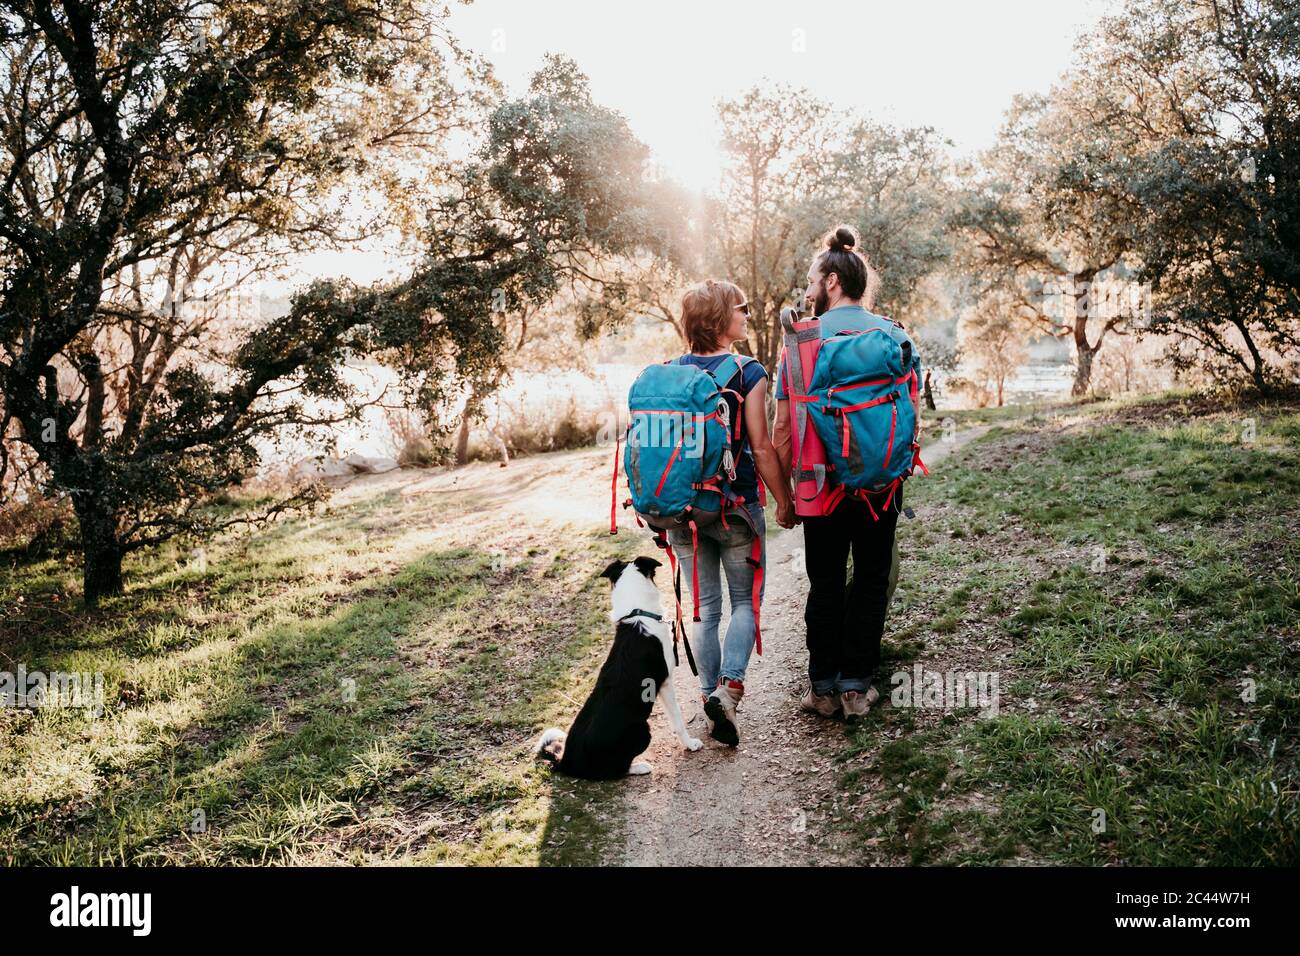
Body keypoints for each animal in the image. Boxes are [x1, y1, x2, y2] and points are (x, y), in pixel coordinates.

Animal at [535, 556, 707, 780]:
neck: (639, 612)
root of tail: (566, 762)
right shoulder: (665, 681)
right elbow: (678, 721)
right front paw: (690, 744)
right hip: (642, 730)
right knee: (615, 771)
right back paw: (640, 767)